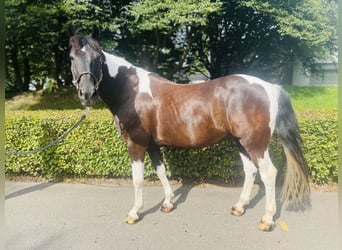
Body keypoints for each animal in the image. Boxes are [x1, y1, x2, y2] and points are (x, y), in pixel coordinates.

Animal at [69, 31, 310, 232]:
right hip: (241, 142)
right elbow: (161, 172)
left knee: (268, 173)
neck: (132, 92)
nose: (87, 94)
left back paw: (267, 219)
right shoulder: (152, 144)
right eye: (72, 58)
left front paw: (134, 212)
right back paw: (239, 207)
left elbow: (138, 179)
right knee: (250, 171)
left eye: (97, 58)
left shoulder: (136, 144)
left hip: (255, 144)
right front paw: (168, 203)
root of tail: (269, 87)